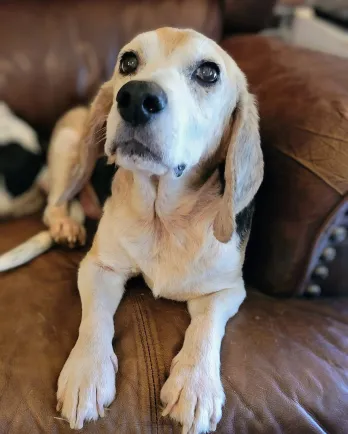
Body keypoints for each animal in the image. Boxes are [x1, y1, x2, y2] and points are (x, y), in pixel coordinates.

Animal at [58, 28, 262, 434]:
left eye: (209, 73)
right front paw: (87, 373)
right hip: (69, 149)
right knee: (56, 198)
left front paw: (196, 385)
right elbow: (95, 320)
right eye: (128, 62)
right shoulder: (99, 268)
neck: (162, 220)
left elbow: (206, 328)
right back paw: (65, 221)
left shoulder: (228, 289)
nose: (136, 97)